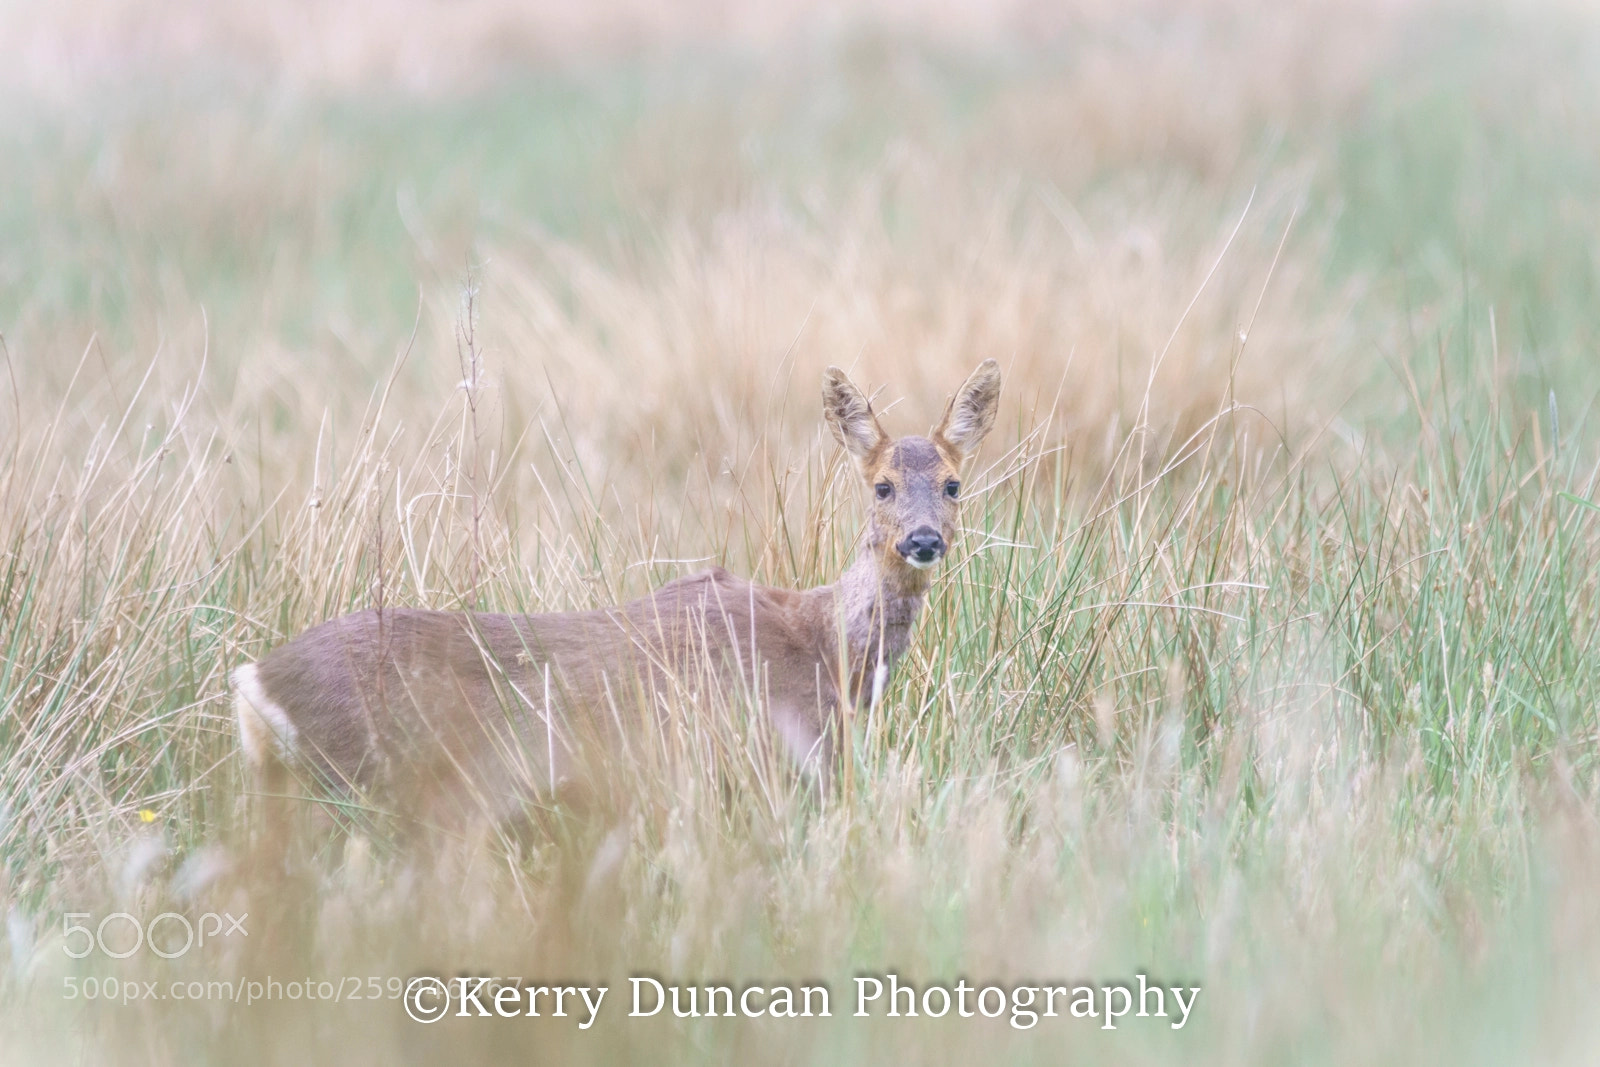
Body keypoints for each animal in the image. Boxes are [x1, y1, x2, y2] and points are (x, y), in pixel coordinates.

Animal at [231, 359, 1001, 840]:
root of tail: (253, 681)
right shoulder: (759, 759)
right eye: (882, 486)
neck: (824, 647)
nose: (924, 540)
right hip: (370, 782)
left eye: (954, 484)